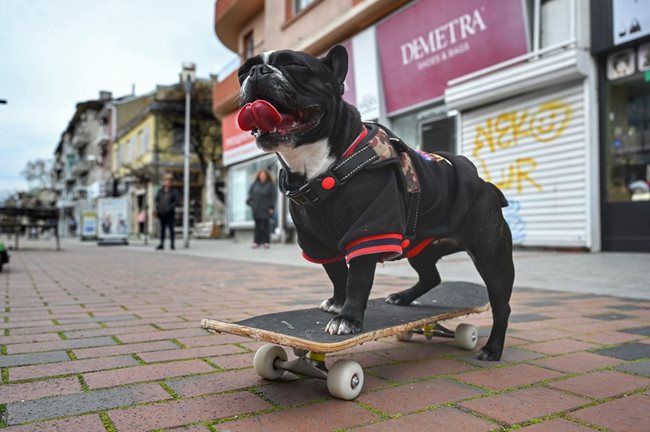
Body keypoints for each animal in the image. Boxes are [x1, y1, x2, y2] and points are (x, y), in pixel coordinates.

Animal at [235, 46, 512, 362]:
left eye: (294, 65)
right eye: (242, 72)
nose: (257, 72)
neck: (318, 167)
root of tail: (484, 184)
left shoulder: (369, 230)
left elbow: (357, 279)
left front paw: (348, 318)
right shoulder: (317, 241)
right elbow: (337, 273)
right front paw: (338, 302)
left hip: (491, 256)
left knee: (501, 304)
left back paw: (492, 348)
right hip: (420, 248)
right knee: (431, 276)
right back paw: (403, 297)